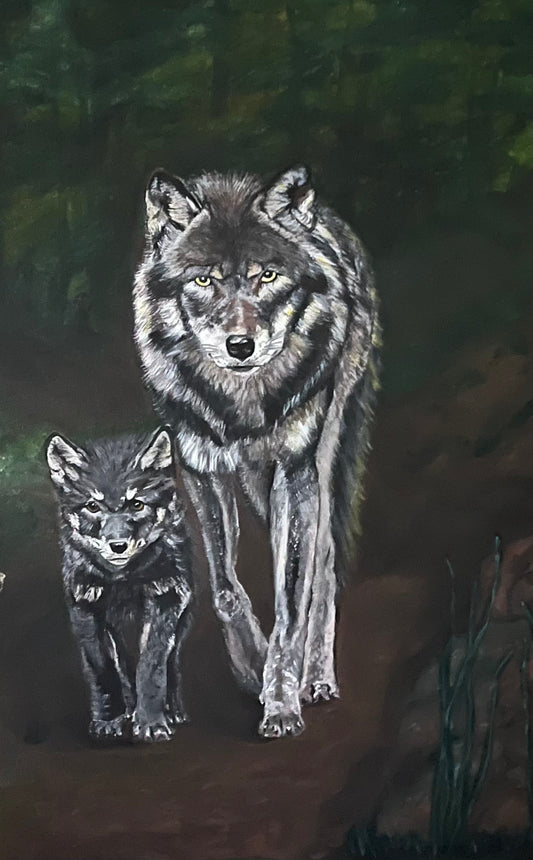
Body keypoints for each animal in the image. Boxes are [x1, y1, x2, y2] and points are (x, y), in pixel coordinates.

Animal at [46, 427, 193, 742]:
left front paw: (150, 722)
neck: (123, 579)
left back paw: (172, 709)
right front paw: (108, 719)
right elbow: (103, 668)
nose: (118, 545)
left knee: (171, 662)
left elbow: (151, 666)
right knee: (122, 665)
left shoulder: (166, 599)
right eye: (93, 506)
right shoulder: (86, 608)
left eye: (136, 504)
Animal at [133, 165, 380, 738]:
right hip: (256, 485)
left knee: (325, 560)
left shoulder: (295, 469)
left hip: (315, 461)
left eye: (267, 276)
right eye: (204, 281)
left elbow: (292, 601)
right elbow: (225, 589)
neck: (241, 405)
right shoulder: (200, 469)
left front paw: (282, 702)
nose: (240, 346)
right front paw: (252, 666)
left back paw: (317, 678)